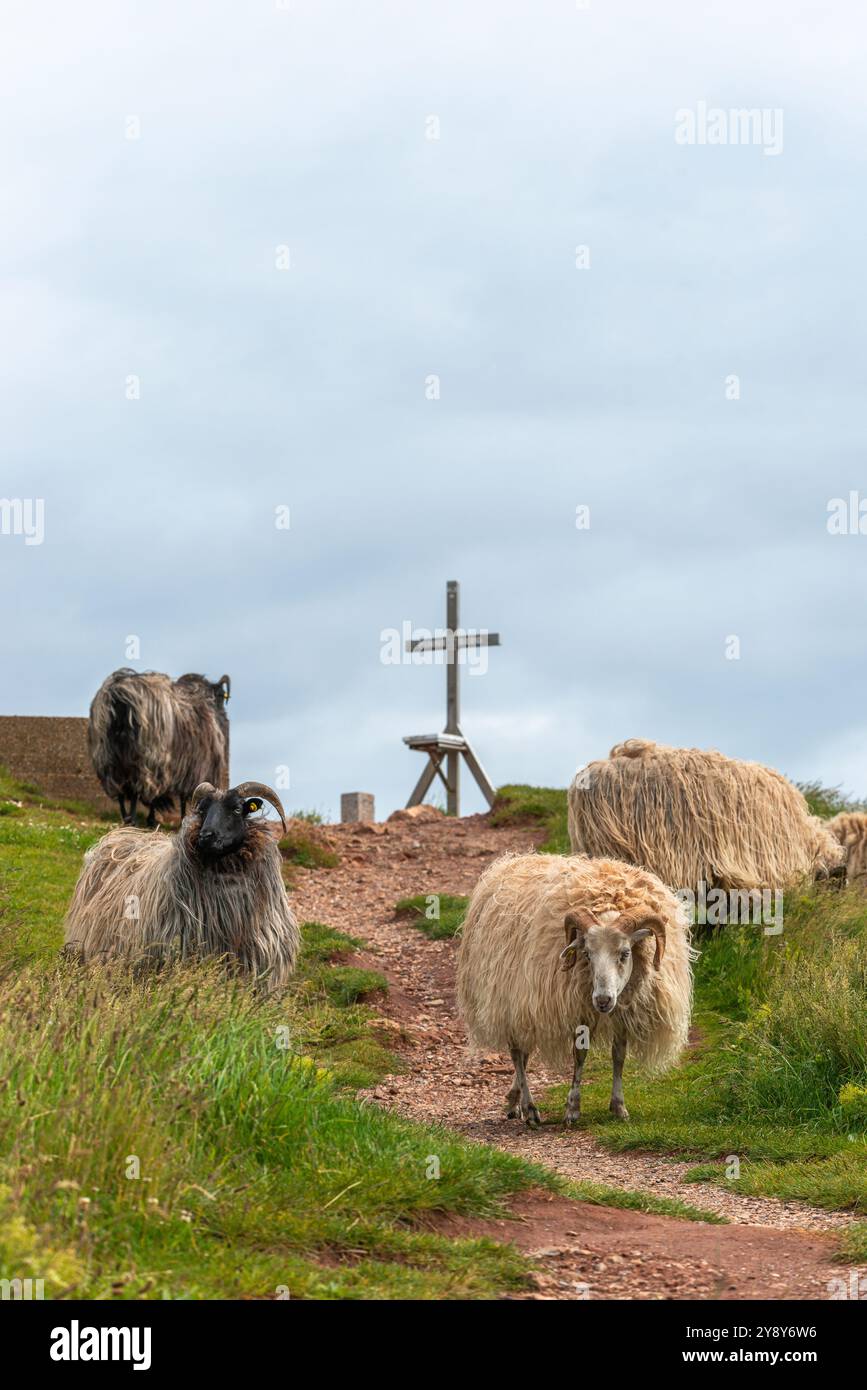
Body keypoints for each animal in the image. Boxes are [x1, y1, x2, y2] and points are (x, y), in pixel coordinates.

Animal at [88, 668, 230, 826]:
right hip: (146, 758)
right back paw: (133, 819)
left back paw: (126, 817)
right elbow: (183, 798)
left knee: (120, 790)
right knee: (136, 790)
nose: (224, 716)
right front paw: (179, 818)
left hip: (108, 757)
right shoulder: (193, 768)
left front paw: (152, 819)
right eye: (221, 697)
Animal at [456, 852, 693, 1127]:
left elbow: (619, 1055)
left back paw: (514, 1100)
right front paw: (572, 1109)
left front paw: (619, 1106)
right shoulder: (580, 1009)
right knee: (517, 1053)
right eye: (587, 954)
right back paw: (529, 1108)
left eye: (625, 953)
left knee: (524, 1053)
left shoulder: (623, 1009)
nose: (602, 1000)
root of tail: (514, 860)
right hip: (510, 997)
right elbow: (580, 1055)